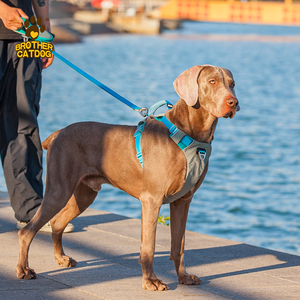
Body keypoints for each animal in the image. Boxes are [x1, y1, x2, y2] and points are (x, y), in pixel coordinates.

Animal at [17, 65, 240, 290]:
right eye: (212, 81)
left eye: (232, 84)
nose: (234, 102)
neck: (190, 135)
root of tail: (58, 133)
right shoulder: (151, 199)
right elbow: (148, 247)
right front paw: (150, 281)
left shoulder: (182, 201)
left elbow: (179, 246)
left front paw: (183, 277)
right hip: (59, 189)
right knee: (27, 230)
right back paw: (24, 270)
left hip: (84, 194)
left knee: (56, 223)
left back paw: (61, 258)